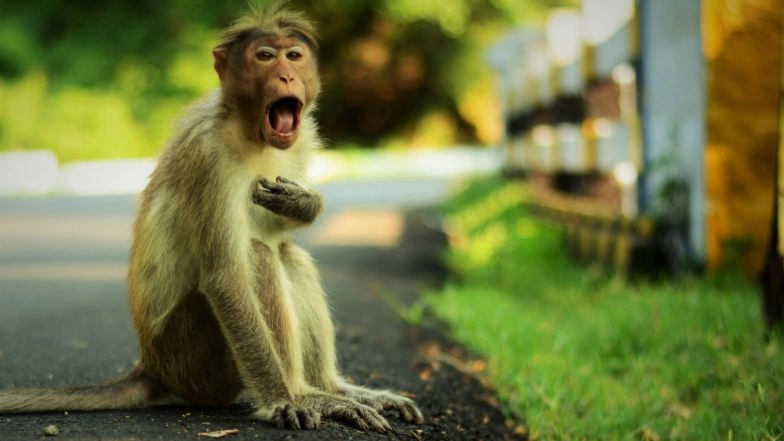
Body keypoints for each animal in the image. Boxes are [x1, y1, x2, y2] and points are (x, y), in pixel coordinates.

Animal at [0, 3, 423, 432]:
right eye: (265, 56)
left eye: (294, 56)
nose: (286, 76)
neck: (248, 127)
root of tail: (152, 366)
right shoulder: (211, 157)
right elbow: (225, 278)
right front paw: (281, 401)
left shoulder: (301, 138)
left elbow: (278, 226)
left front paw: (304, 203)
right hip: (194, 356)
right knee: (257, 256)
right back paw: (304, 394)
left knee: (287, 253)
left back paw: (333, 388)